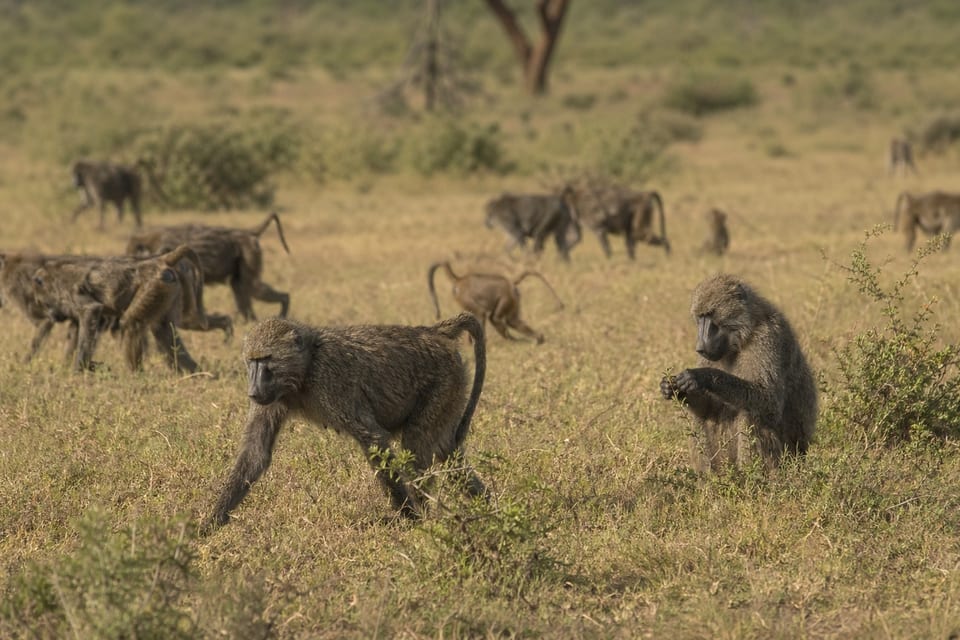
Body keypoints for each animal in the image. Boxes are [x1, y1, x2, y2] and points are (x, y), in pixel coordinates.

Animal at [126, 212, 290, 321]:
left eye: (132, 253)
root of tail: (245, 232)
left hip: (249, 250)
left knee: (252, 286)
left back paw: (283, 307)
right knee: (239, 286)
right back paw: (250, 321)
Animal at [204, 312, 487, 530]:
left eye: (266, 360)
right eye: (252, 361)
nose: (252, 391)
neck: (306, 367)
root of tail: (432, 332)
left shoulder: (331, 380)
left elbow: (373, 439)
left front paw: (410, 519)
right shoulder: (273, 398)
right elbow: (256, 453)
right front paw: (209, 524)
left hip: (443, 384)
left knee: (416, 446)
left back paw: (429, 519)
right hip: (452, 391)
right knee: (448, 456)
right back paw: (486, 505)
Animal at [427, 261, 563, 345]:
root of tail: (510, 282)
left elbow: (481, 314)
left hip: (507, 298)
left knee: (493, 318)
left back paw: (512, 340)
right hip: (513, 298)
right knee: (512, 321)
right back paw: (537, 338)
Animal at [659, 274, 817, 472]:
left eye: (710, 315)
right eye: (700, 317)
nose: (700, 348)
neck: (745, 334)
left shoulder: (767, 338)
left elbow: (769, 401)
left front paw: (700, 376)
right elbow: (710, 409)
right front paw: (673, 388)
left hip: (786, 456)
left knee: (751, 414)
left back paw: (753, 476)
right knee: (701, 418)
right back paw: (708, 477)